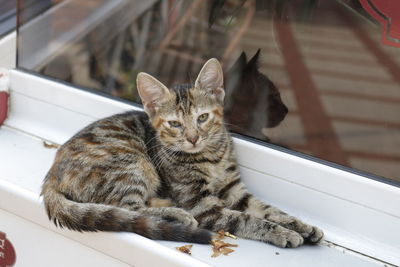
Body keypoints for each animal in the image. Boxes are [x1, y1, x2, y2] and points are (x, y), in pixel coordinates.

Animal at [41, 57, 322, 248]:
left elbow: (269, 210)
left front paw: (301, 226)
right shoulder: (202, 205)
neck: (212, 157)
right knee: (128, 209)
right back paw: (176, 215)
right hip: (132, 163)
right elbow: (247, 220)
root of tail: (51, 174)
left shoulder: (235, 190)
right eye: (175, 124)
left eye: (203, 118)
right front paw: (282, 233)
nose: (193, 137)